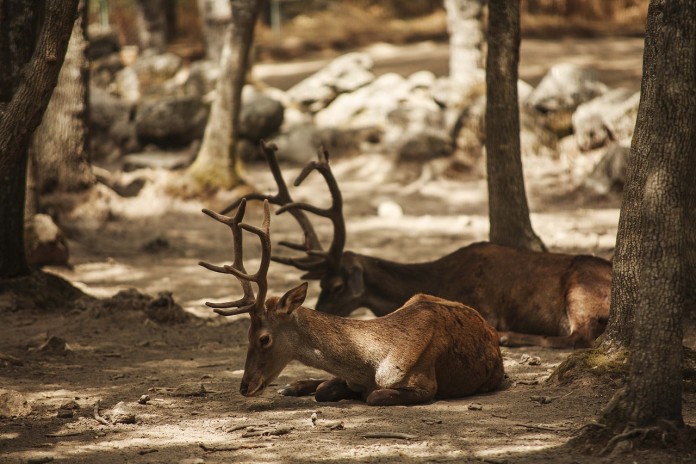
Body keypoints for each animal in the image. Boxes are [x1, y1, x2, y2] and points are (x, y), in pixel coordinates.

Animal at [199, 199, 504, 406]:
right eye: (246, 334)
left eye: (264, 339)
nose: (244, 387)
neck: (372, 365)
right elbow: (326, 389)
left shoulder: (425, 383)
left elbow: (374, 396)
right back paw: (293, 386)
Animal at [222, 141, 612, 349]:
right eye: (320, 285)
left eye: (337, 285)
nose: (318, 313)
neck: (439, 279)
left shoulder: (485, 305)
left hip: (580, 291)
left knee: (578, 336)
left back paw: (507, 336)